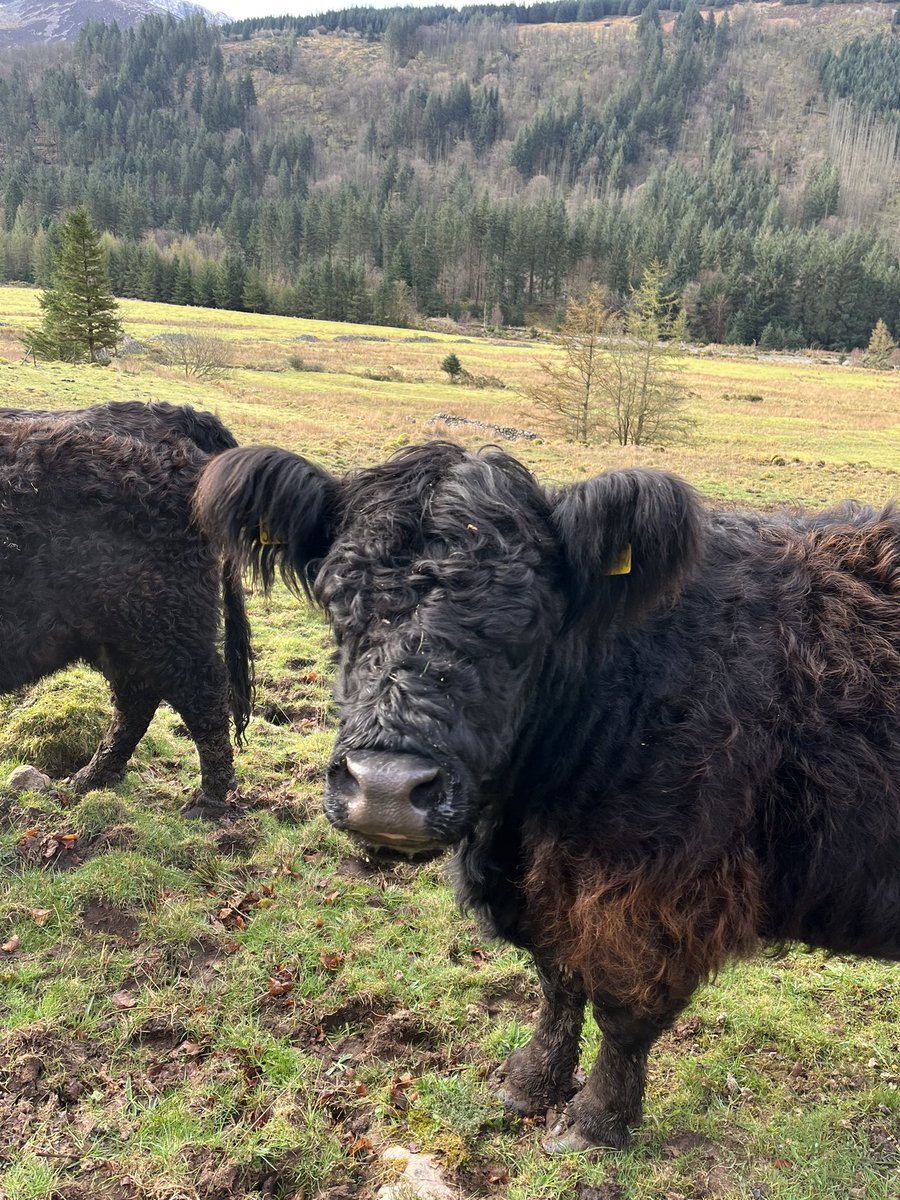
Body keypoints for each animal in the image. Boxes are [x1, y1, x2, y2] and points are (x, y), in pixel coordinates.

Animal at [1, 420, 254, 816]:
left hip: (164, 625)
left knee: (204, 693)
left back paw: (207, 800)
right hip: (118, 637)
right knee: (137, 700)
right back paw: (90, 778)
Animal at [195, 444, 900, 1152]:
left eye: (523, 624)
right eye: (340, 602)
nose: (386, 789)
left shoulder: (658, 887)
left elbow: (622, 1007)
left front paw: (595, 1121)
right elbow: (557, 979)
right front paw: (530, 1084)